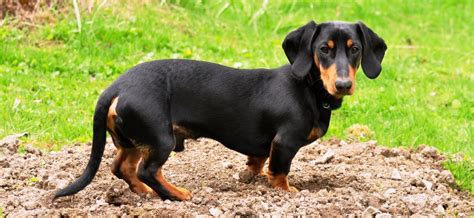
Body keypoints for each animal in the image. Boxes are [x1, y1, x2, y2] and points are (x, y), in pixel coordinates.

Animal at [54, 20, 386, 201]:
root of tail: (117, 86)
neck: (307, 87)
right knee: (147, 170)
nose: (343, 85)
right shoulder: (285, 142)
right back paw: (177, 194)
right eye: (323, 49)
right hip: (160, 137)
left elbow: (257, 160)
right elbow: (279, 171)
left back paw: (146, 193)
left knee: (121, 167)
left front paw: (249, 177)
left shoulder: (264, 146)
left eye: (355, 49)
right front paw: (286, 192)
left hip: (133, 139)